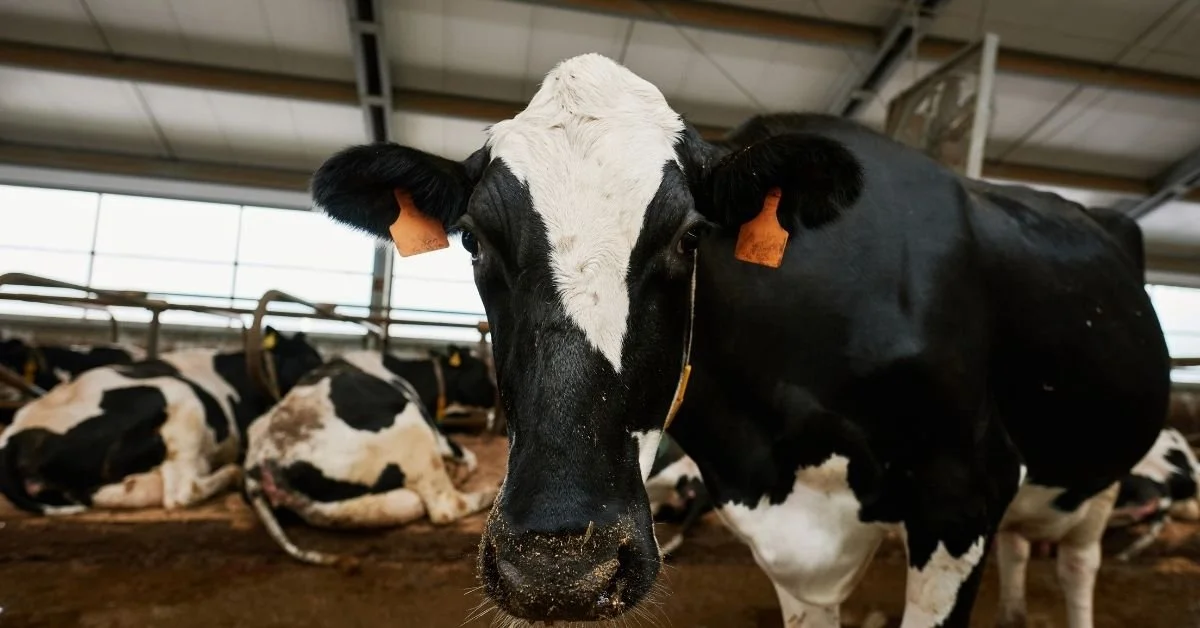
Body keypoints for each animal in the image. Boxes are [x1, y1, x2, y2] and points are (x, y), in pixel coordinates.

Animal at [243, 347, 499, 565]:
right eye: (481, 369)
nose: (495, 395)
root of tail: (261, 460)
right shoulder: (436, 432)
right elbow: (468, 456)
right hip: (412, 430)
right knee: (447, 506)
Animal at [310, 53, 1169, 628]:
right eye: (474, 240)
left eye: (690, 236)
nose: (560, 566)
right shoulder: (794, 546)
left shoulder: (964, 493)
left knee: (1080, 563)